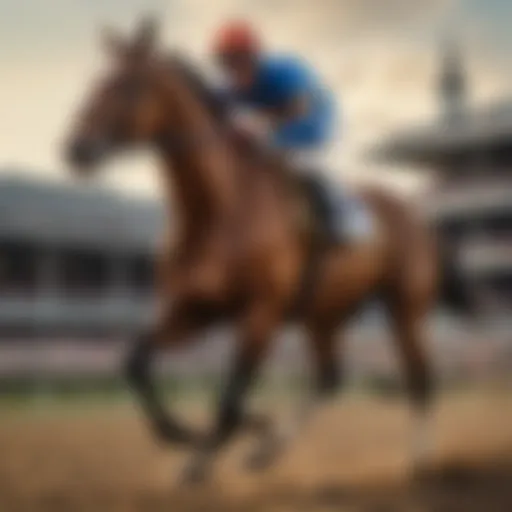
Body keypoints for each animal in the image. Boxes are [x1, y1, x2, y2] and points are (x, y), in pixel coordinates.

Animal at [63, 19, 472, 484]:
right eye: (95, 83)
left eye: (127, 86)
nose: (75, 148)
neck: (220, 210)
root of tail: (419, 216)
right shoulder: (194, 309)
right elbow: (136, 364)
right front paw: (198, 439)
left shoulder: (262, 311)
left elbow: (228, 399)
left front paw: (214, 449)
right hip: (325, 313)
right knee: (329, 377)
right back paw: (267, 451)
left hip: (405, 310)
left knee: (420, 377)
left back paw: (421, 458)